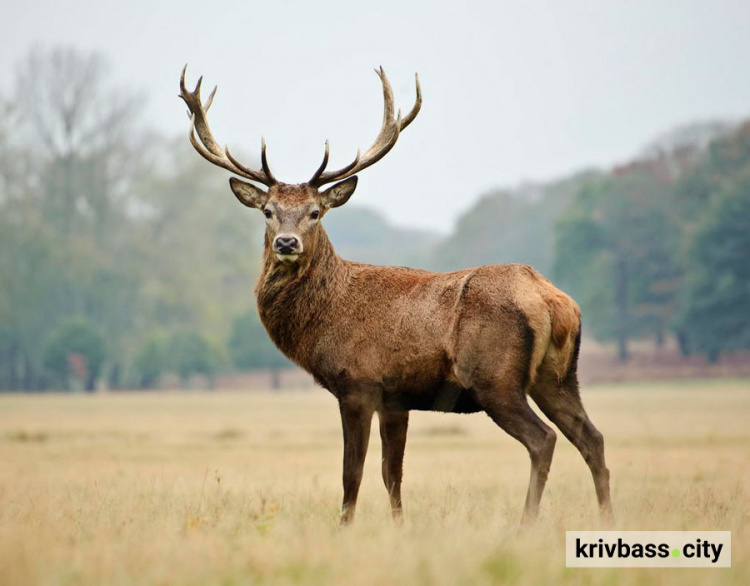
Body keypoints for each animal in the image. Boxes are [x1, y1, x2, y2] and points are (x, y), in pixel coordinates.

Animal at [179, 64, 612, 524]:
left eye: (315, 212)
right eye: (267, 211)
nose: (286, 243)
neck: (325, 317)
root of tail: (554, 300)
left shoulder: (358, 383)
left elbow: (352, 473)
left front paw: (345, 526)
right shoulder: (396, 398)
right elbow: (393, 473)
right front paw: (399, 525)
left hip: (495, 377)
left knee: (543, 439)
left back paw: (525, 523)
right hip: (558, 375)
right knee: (592, 437)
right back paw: (607, 518)